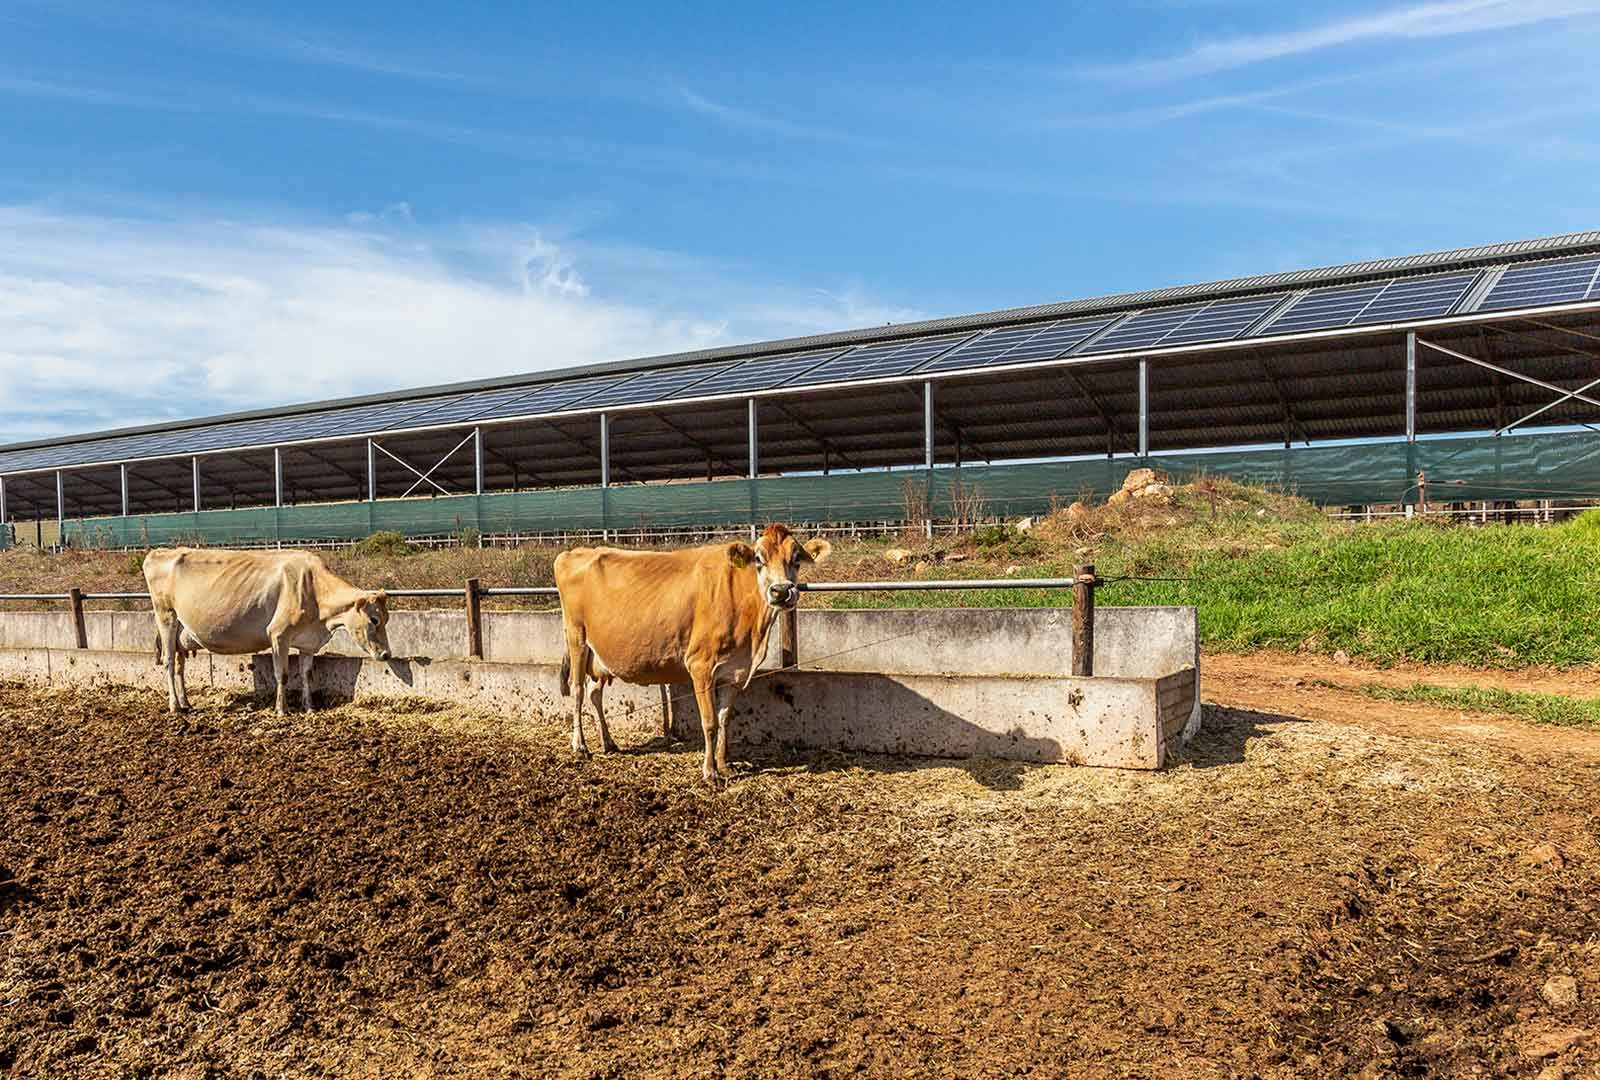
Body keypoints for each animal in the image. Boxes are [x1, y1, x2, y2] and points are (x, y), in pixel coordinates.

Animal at [142, 547, 392, 715]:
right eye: (374, 619)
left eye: (387, 618)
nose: (386, 654)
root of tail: (160, 552)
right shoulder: (279, 634)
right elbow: (282, 674)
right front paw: (282, 710)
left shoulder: (308, 642)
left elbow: (306, 674)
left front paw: (309, 707)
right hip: (166, 616)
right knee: (168, 662)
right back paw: (175, 706)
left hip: (181, 633)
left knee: (180, 666)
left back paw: (186, 702)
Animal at [554, 523, 831, 784]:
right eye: (759, 559)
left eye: (796, 558)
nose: (781, 591)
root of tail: (575, 551)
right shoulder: (701, 665)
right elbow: (709, 722)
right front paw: (710, 771)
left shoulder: (734, 672)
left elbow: (724, 719)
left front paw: (725, 765)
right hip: (576, 637)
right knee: (577, 690)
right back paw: (580, 746)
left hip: (599, 655)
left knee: (594, 693)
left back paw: (608, 742)